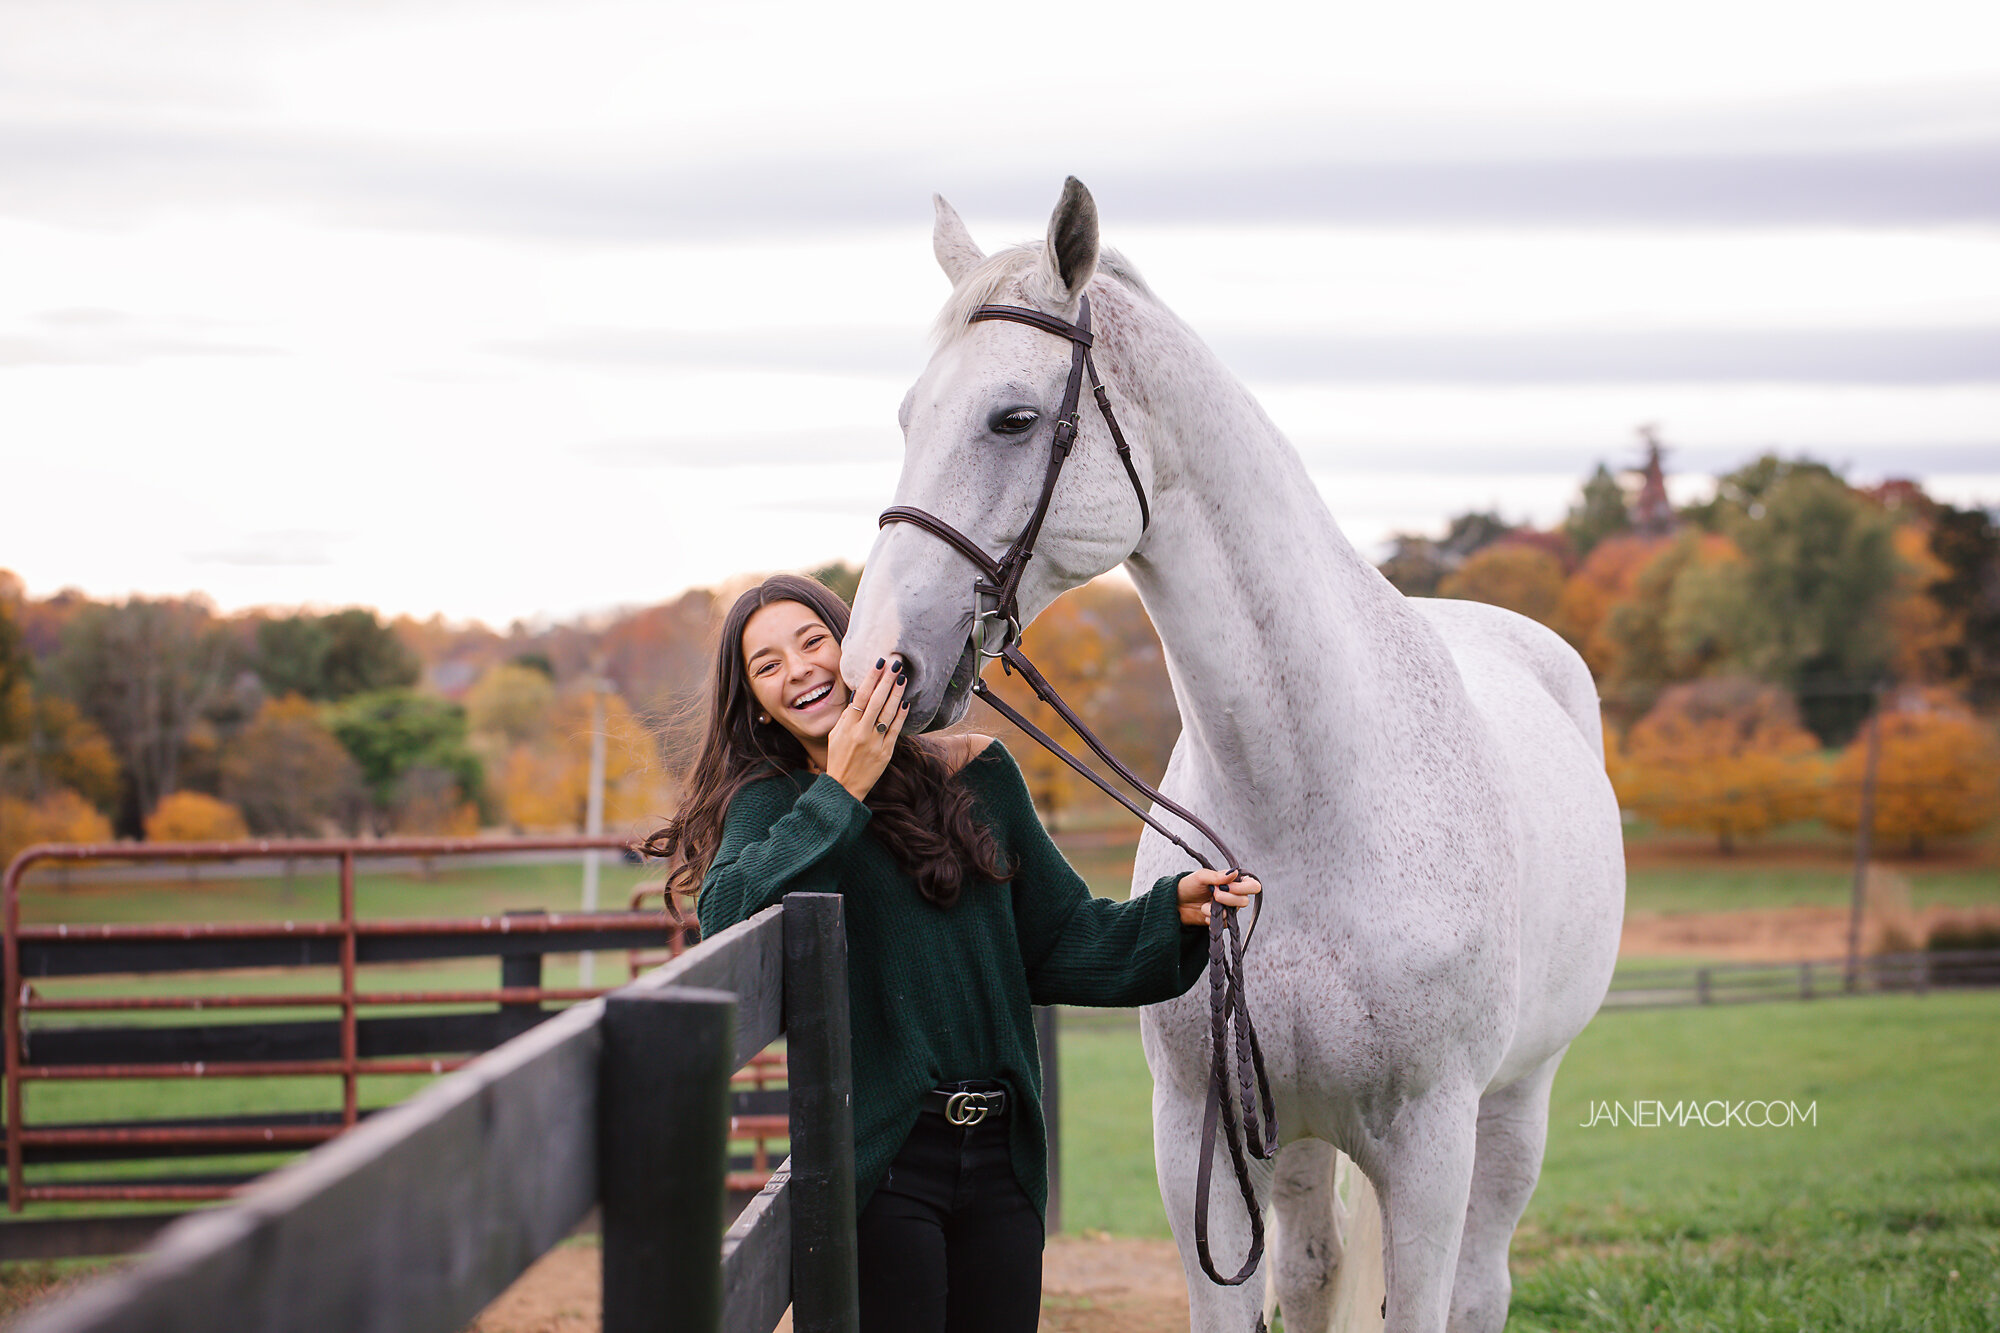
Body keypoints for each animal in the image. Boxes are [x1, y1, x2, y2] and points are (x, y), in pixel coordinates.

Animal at [844, 179, 1624, 1328]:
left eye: (1013, 417)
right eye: (908, 417)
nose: (877, 662)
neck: (1314, 805)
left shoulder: (1429, 1153)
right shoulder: (1198, 1149)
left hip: (1512, 1109)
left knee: (1482, 1285)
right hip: (1292, 1144)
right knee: (1308, 1273)